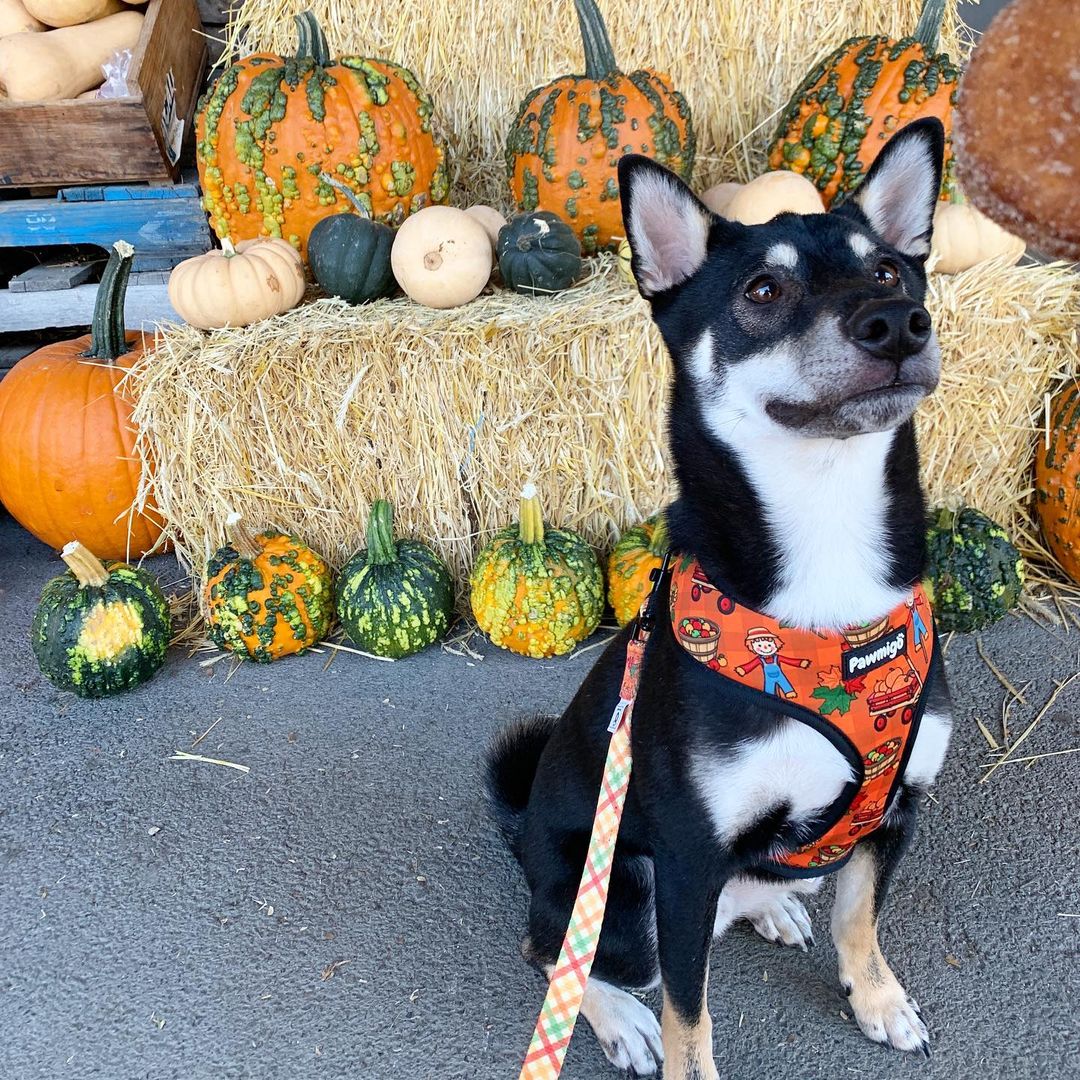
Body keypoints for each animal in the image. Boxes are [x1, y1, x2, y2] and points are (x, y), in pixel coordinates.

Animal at [490, 120, 954, 1080]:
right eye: (762, 289)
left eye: (889, 271)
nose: (897, 323)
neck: (826, 530)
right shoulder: (686, 858)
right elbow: (687, 1010)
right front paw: (670, 1046)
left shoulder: (898, 811)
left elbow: (861, 917)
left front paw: (877, 997)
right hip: (622, 887)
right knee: (557, 948)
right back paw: (618, 1018)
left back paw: (770, 906)